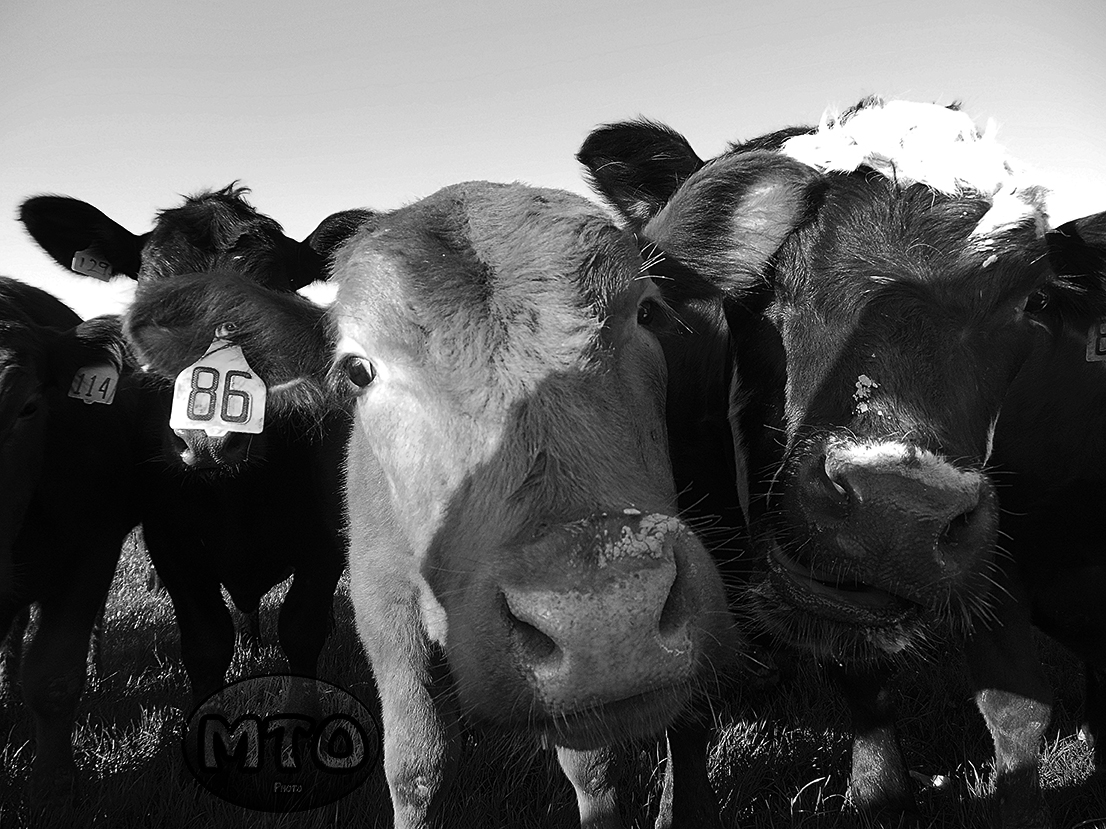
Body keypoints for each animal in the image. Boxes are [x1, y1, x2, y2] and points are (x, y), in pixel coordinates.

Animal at [19, 185, 366, 704]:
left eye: (275, 295)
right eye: (145, 302)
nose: (207, 440)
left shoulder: (327, 539)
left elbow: (302, 632)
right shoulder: (172, 544)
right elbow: (206, 645)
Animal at [120, 181, 763, 828]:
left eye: (646, 312)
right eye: (358, 369)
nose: (607, 619)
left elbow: (595, 767)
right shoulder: (378, 599)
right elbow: (417, 768)